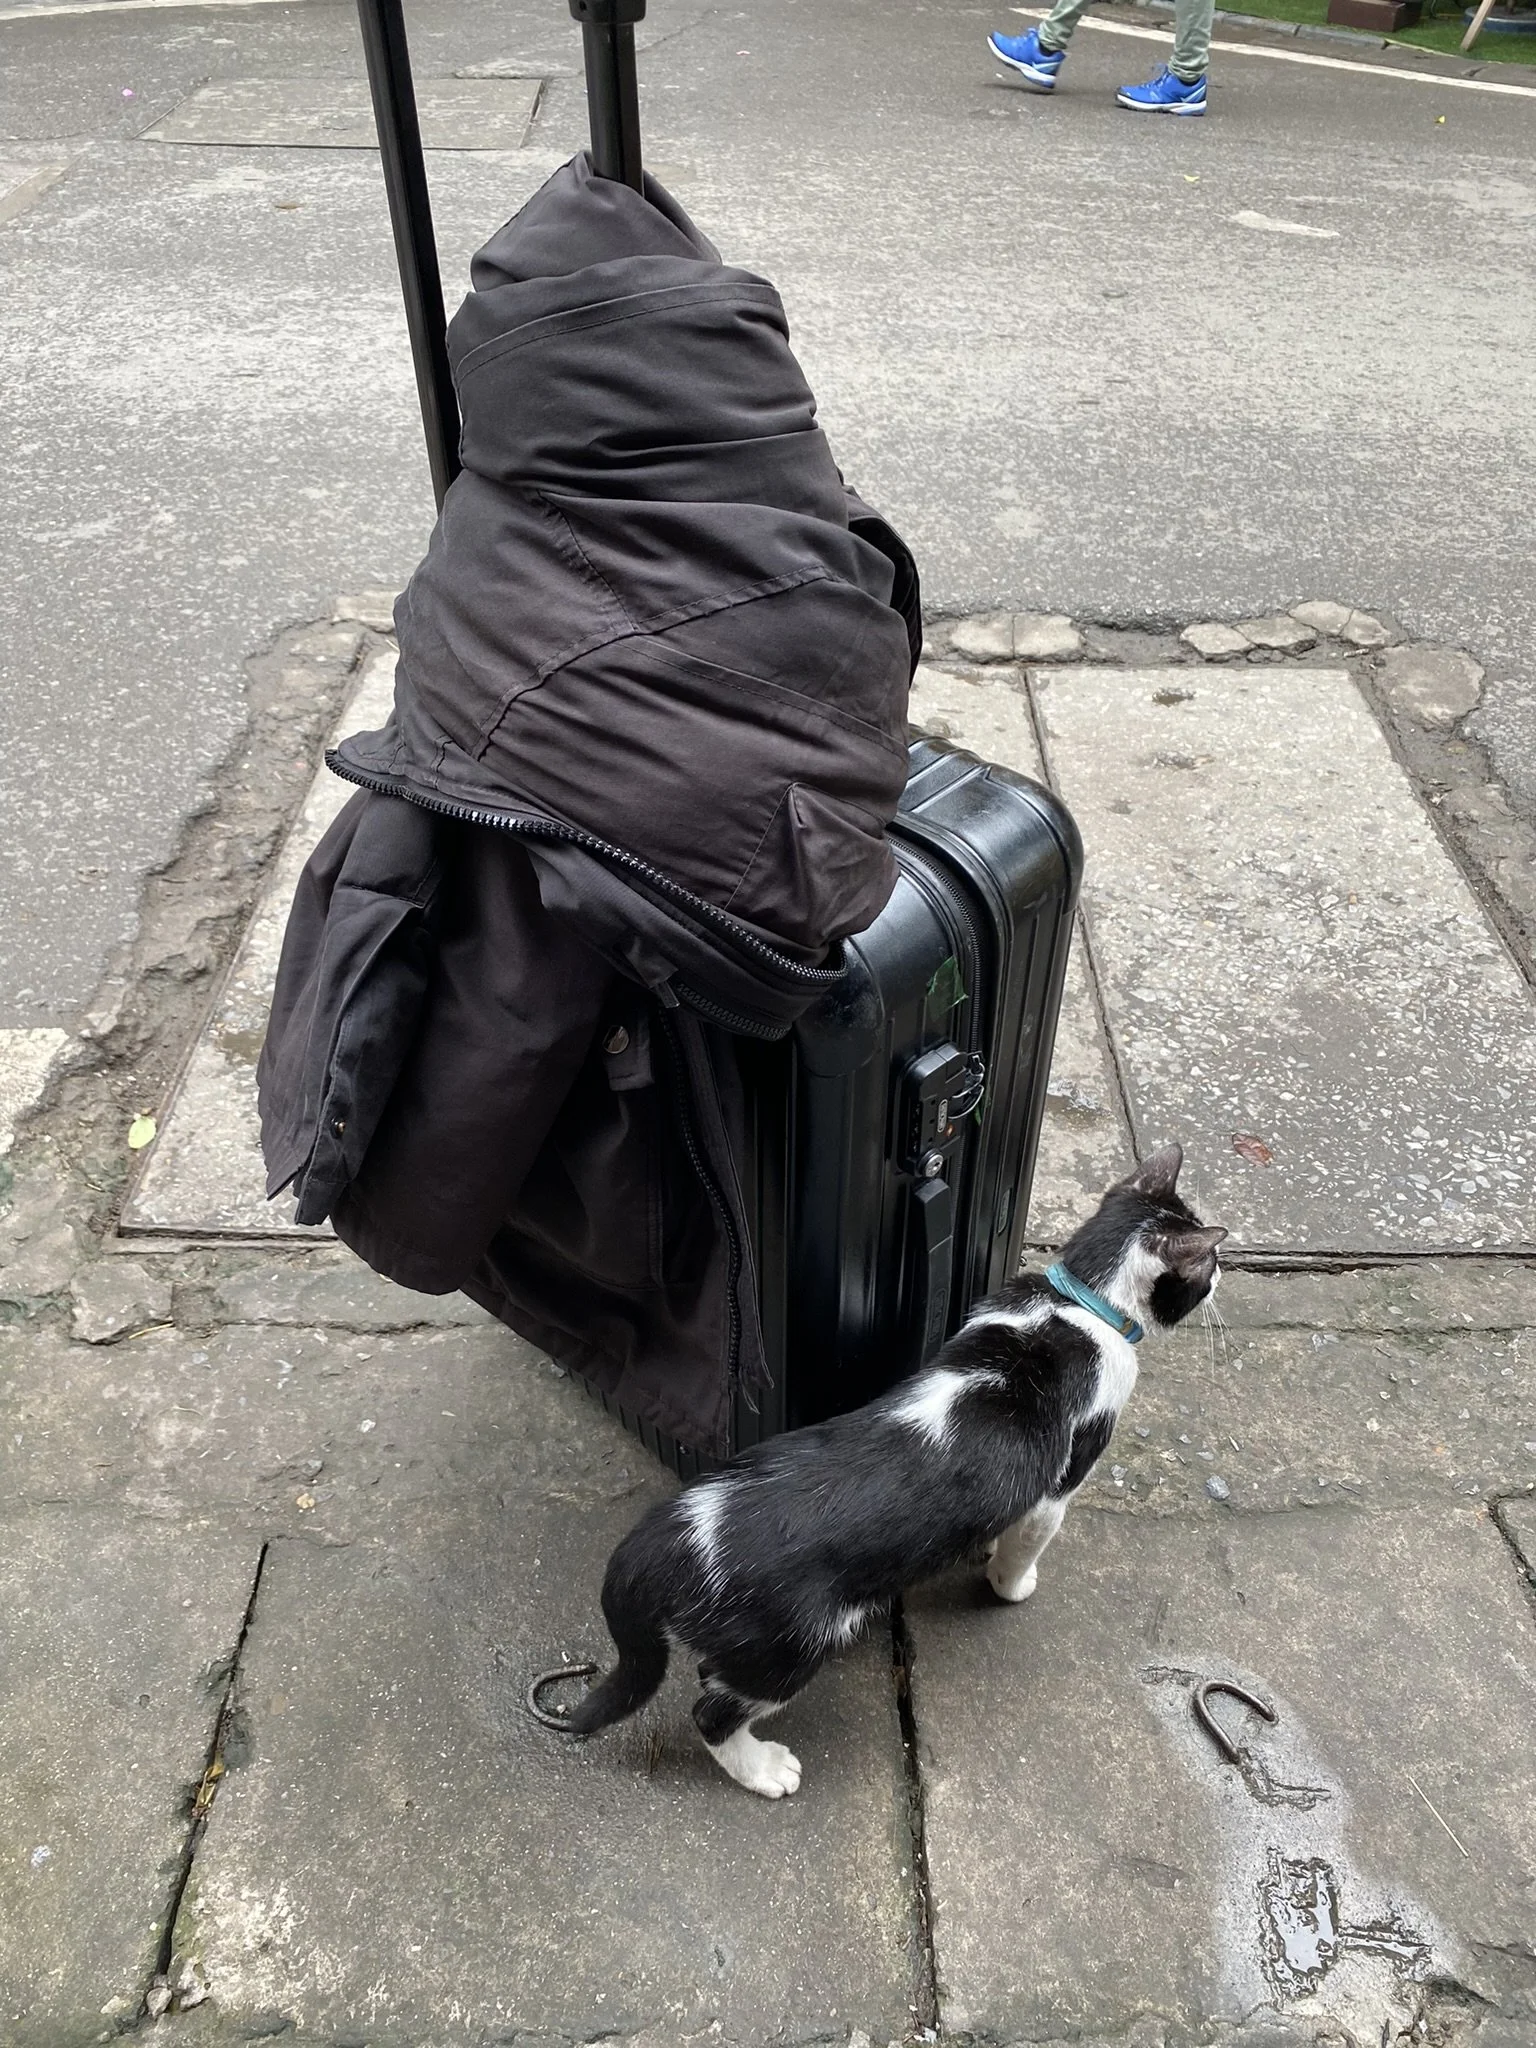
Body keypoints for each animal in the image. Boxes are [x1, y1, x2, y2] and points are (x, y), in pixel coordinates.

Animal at [559, 1143, 1226, 1797]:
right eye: (1208, 1261)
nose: (1220, 1272)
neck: (1079, 1305)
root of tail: (667, 1534)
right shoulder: (1056, 1486)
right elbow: (1027, 1543)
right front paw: (1010, 1582)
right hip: (787, 1645)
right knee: (711, 1713)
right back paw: (764, 1770)